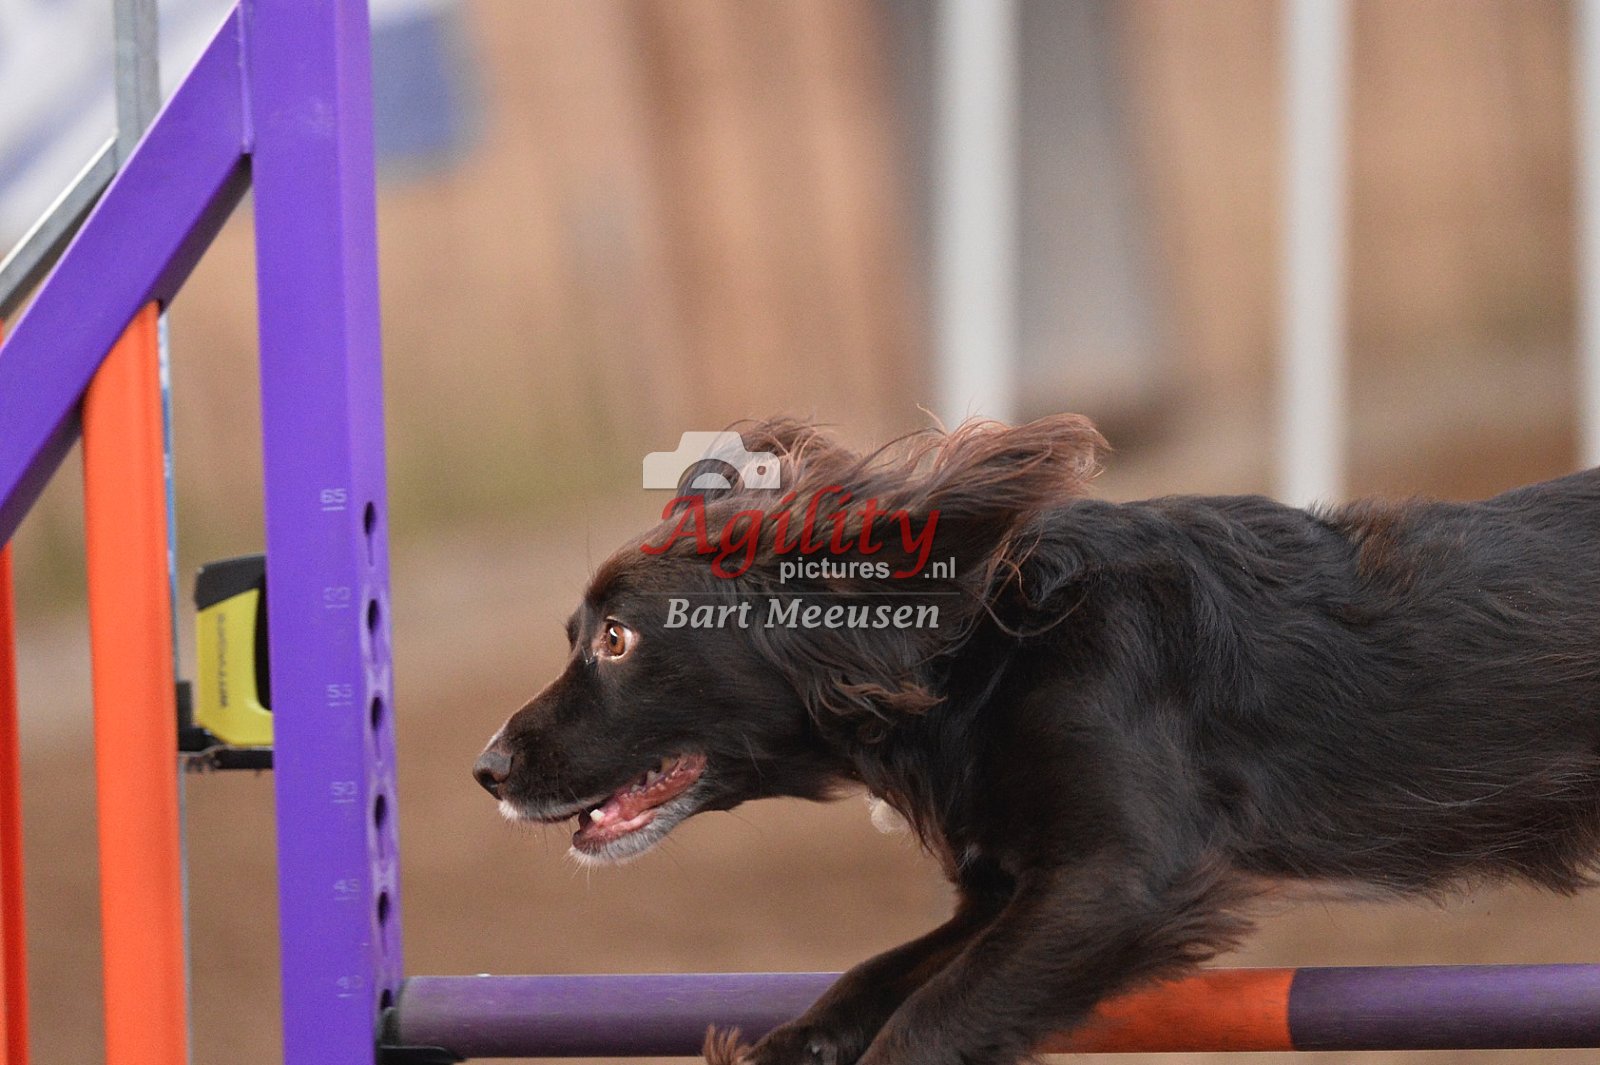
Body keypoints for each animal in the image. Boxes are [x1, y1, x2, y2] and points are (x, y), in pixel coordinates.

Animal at [474, 415, 1600, 1065]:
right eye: (577, 634)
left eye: (618, 639)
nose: (485, 768)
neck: (981, 650)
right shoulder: (1010, 884)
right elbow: (870, 977)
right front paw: (776, 1047)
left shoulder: (1114, 878)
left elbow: (923, 1025)